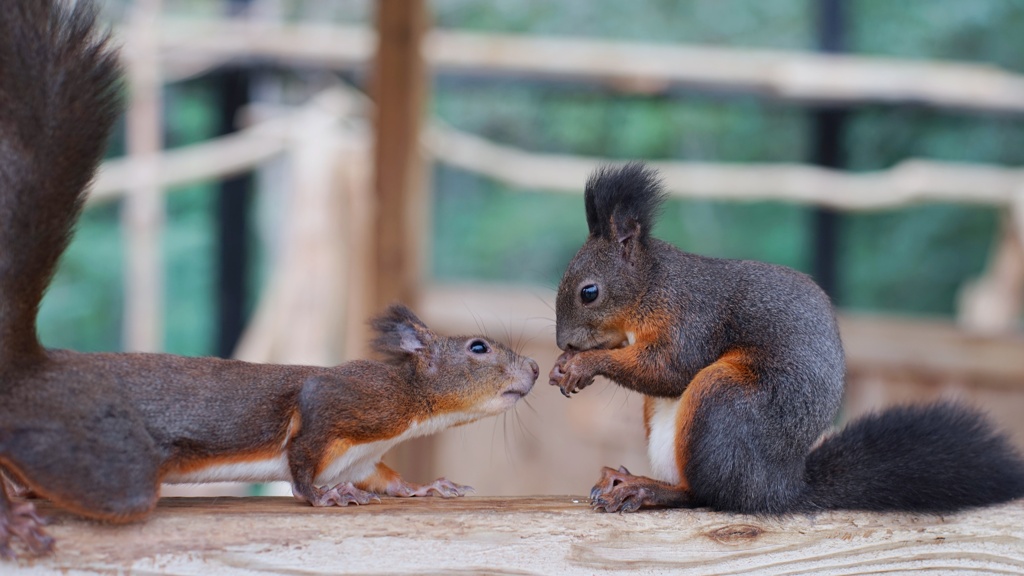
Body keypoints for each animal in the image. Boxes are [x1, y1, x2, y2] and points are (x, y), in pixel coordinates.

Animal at [0, 0, 540, 557]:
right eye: (478, 347)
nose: (537, 369)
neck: (410, 404)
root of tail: (30, 368)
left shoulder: (364, 459)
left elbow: (387, 478)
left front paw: (427, 487)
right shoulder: (343, 401)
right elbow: (303, 456)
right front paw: (323, 496)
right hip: (100, 455)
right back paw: (10, 514)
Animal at [548, 159, 1024, 510]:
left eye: (589, 292)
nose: (563, 343)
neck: (652, 286)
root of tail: (780, 488)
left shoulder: (692, 319)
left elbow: (668, 370)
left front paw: (583, 364)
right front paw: (563, 365)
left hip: (722, 400)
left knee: (709, 495)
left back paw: (647, 489)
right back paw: (623, 477)